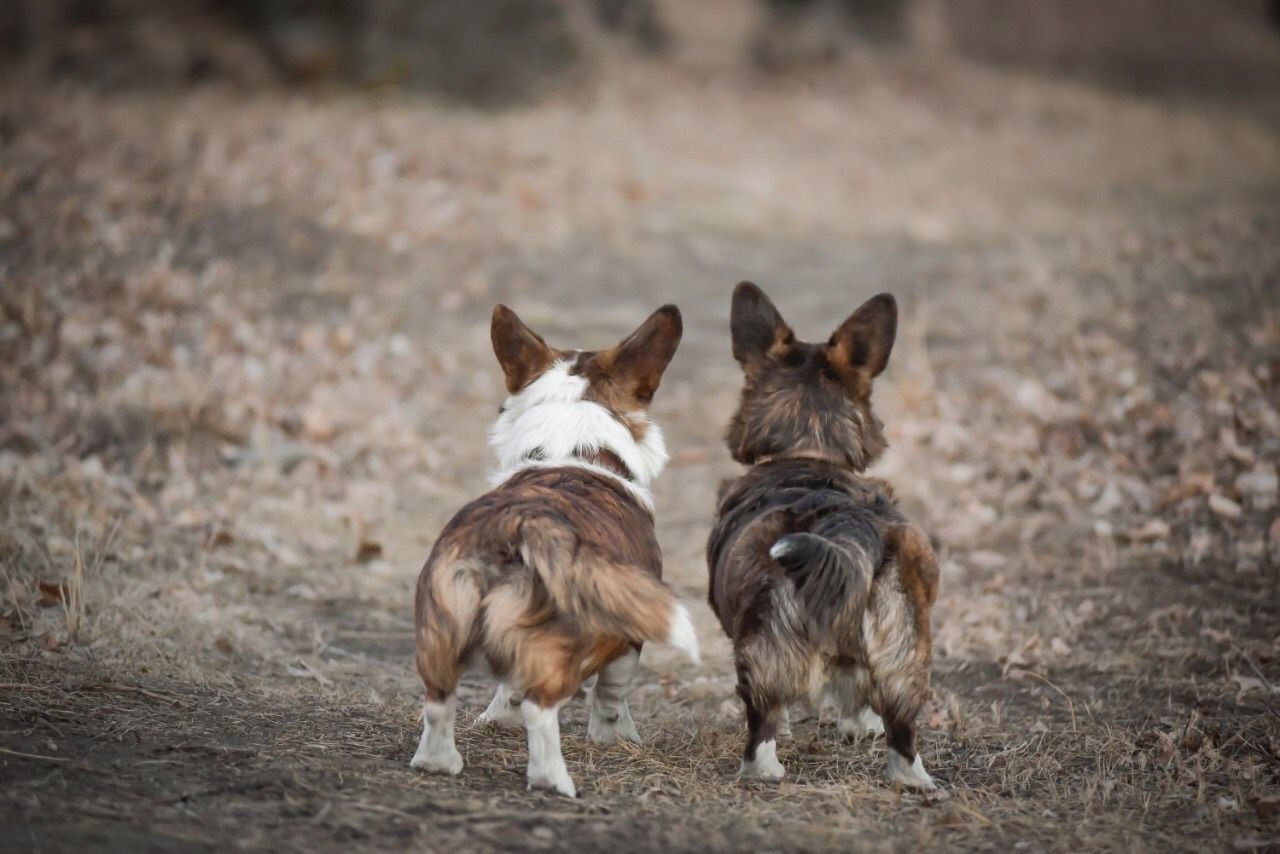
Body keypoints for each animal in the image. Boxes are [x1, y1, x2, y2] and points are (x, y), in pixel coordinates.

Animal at [412, 303, 701, 798]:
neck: (574, 449)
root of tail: (517, 523)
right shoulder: (628, 634)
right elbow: (612, 695)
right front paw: (615, 737)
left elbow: (506, 689)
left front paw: (496, 719)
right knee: (540, 708)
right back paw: (555, 780)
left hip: (442, 628)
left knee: (438, 698)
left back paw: (438, 762)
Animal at [706, 284, 936, 793]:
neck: (808, 449)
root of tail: (845, 527)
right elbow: (859, 700)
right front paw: (860, 727)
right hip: (907, 652)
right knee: (903, 733)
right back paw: (912, 780)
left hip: (762, 653)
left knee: (763, 723)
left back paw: (761, 771)